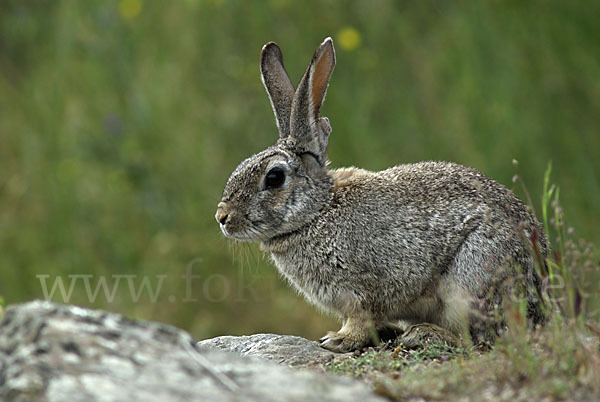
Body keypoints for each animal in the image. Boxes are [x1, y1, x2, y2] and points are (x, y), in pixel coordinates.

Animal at [217, 37, 548, 352]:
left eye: (274, 178)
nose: (222, 217)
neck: (318, 212)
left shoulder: (369, 289)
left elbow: (363, 318)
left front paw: (340, 340)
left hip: (474, 276)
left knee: (484, 340)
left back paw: (425, 335)